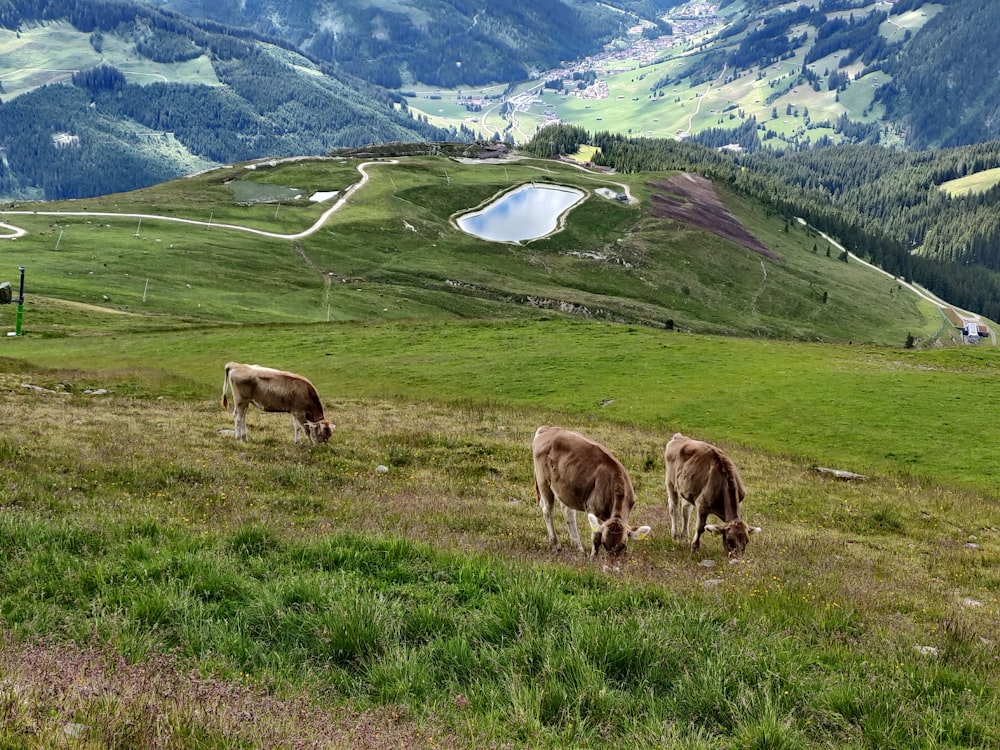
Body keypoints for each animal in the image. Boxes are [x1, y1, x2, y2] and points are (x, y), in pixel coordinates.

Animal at [532, 428, 648, 560]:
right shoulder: (593, 510)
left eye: (623, 546)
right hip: (543, 481)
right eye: (605, 543)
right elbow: (596, 538)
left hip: (565, 487)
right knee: (548, 510)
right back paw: (556, 545)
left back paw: (578, 548)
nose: (611, 564)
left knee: (568, 513)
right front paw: (593, 558)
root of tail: (547, 428)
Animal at [664, 432, 756, 560]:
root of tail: (679, 436)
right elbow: (700, 527)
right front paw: (694, 549)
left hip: (687, 488)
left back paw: (685, 538)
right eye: (729, 540)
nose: (738, 560)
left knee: (685, 511)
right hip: (670, 481)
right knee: (674, 508)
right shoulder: (702, 504)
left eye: (746, 541)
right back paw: (675, 536)